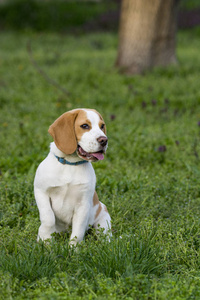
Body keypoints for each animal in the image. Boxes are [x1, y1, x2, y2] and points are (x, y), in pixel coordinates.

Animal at [33, 109, 111, 245]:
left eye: (102, 126)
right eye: (84, 126)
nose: (104, 140)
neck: (70, 164)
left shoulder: (83, 204)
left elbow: (78, 231)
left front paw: (73, 248)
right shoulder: (41, 191)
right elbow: (48, 218)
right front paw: (45, 241)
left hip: (103, 217)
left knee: (105, 235)